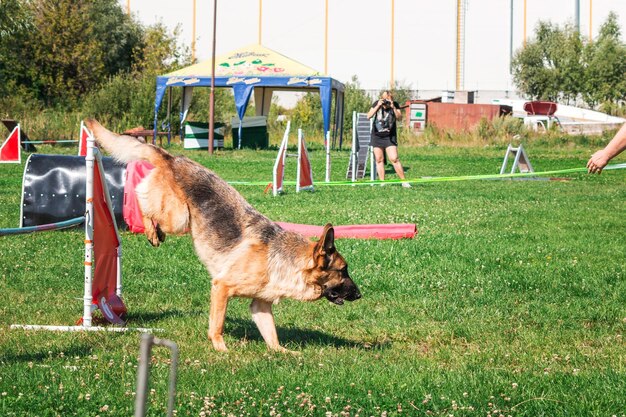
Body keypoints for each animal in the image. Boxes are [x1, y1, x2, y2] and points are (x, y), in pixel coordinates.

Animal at [84, 118, 358, 350]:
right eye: (343, 271)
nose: (360, 294)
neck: (284, 260)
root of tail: (172, 158)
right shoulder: (221, 288)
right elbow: (217, 323)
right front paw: (220, 348)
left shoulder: (260, 305)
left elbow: (271, 334)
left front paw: (283, 353)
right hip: (178, 217)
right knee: (143, 204)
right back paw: (151, 231)